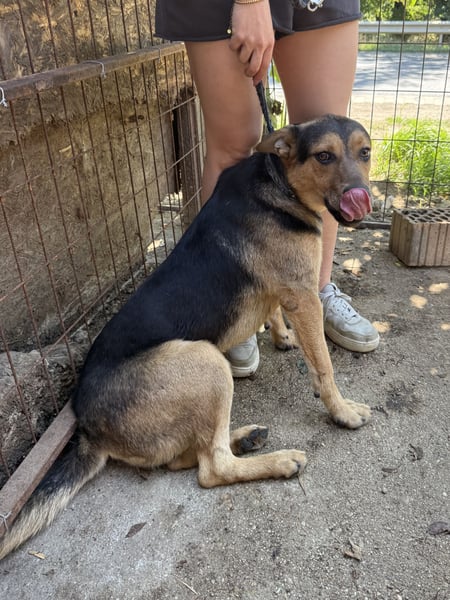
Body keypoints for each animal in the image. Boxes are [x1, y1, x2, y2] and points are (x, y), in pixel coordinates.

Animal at [0, 114, 373, 559]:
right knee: (211, 468)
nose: (361, 198)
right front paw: (343, 410)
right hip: (205, 360)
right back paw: (278, 460)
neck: (279, 181)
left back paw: (245, 437)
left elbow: (276, 313)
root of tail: (89, 431)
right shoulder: (304, 295)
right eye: (323, 156)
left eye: (365, 152)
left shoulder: (287, 291)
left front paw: (282, 335)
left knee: (188, 456)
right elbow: (324, 367)